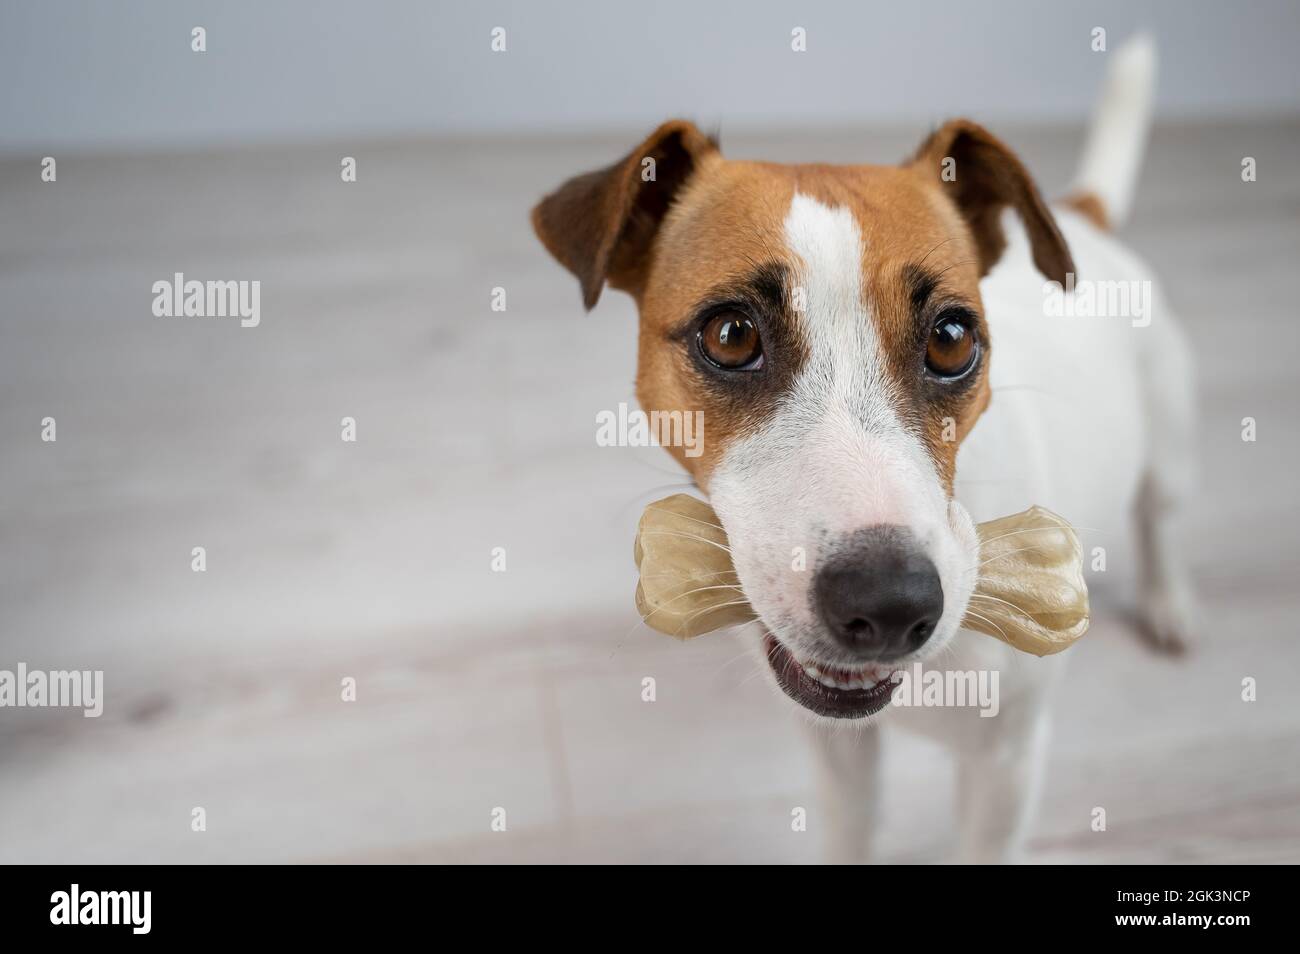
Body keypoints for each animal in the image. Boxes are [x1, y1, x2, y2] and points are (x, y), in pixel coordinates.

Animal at [533, 37, 1190, 863]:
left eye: (952, 339)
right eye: (731, 334)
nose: (889, 603)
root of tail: (1083, 215)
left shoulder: (1005, 766)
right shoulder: (836, 749)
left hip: (1167, 444)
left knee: (1161, 518)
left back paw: (1169, 604)